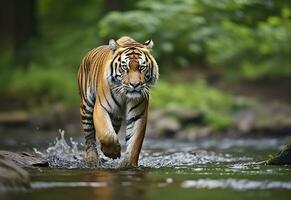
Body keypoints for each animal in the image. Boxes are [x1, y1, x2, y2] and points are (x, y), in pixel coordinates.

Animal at [77, 36, 160, 169]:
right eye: (125, 67)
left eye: (142, 67)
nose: (135, 85)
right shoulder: (101, 108)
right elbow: (106, 134)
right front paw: (113, 152)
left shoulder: (138, 115)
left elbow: (134, 142)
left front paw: (128, 165)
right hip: (86, 106)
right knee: (89, 136)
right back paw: (92, 160)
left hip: (115, 118)